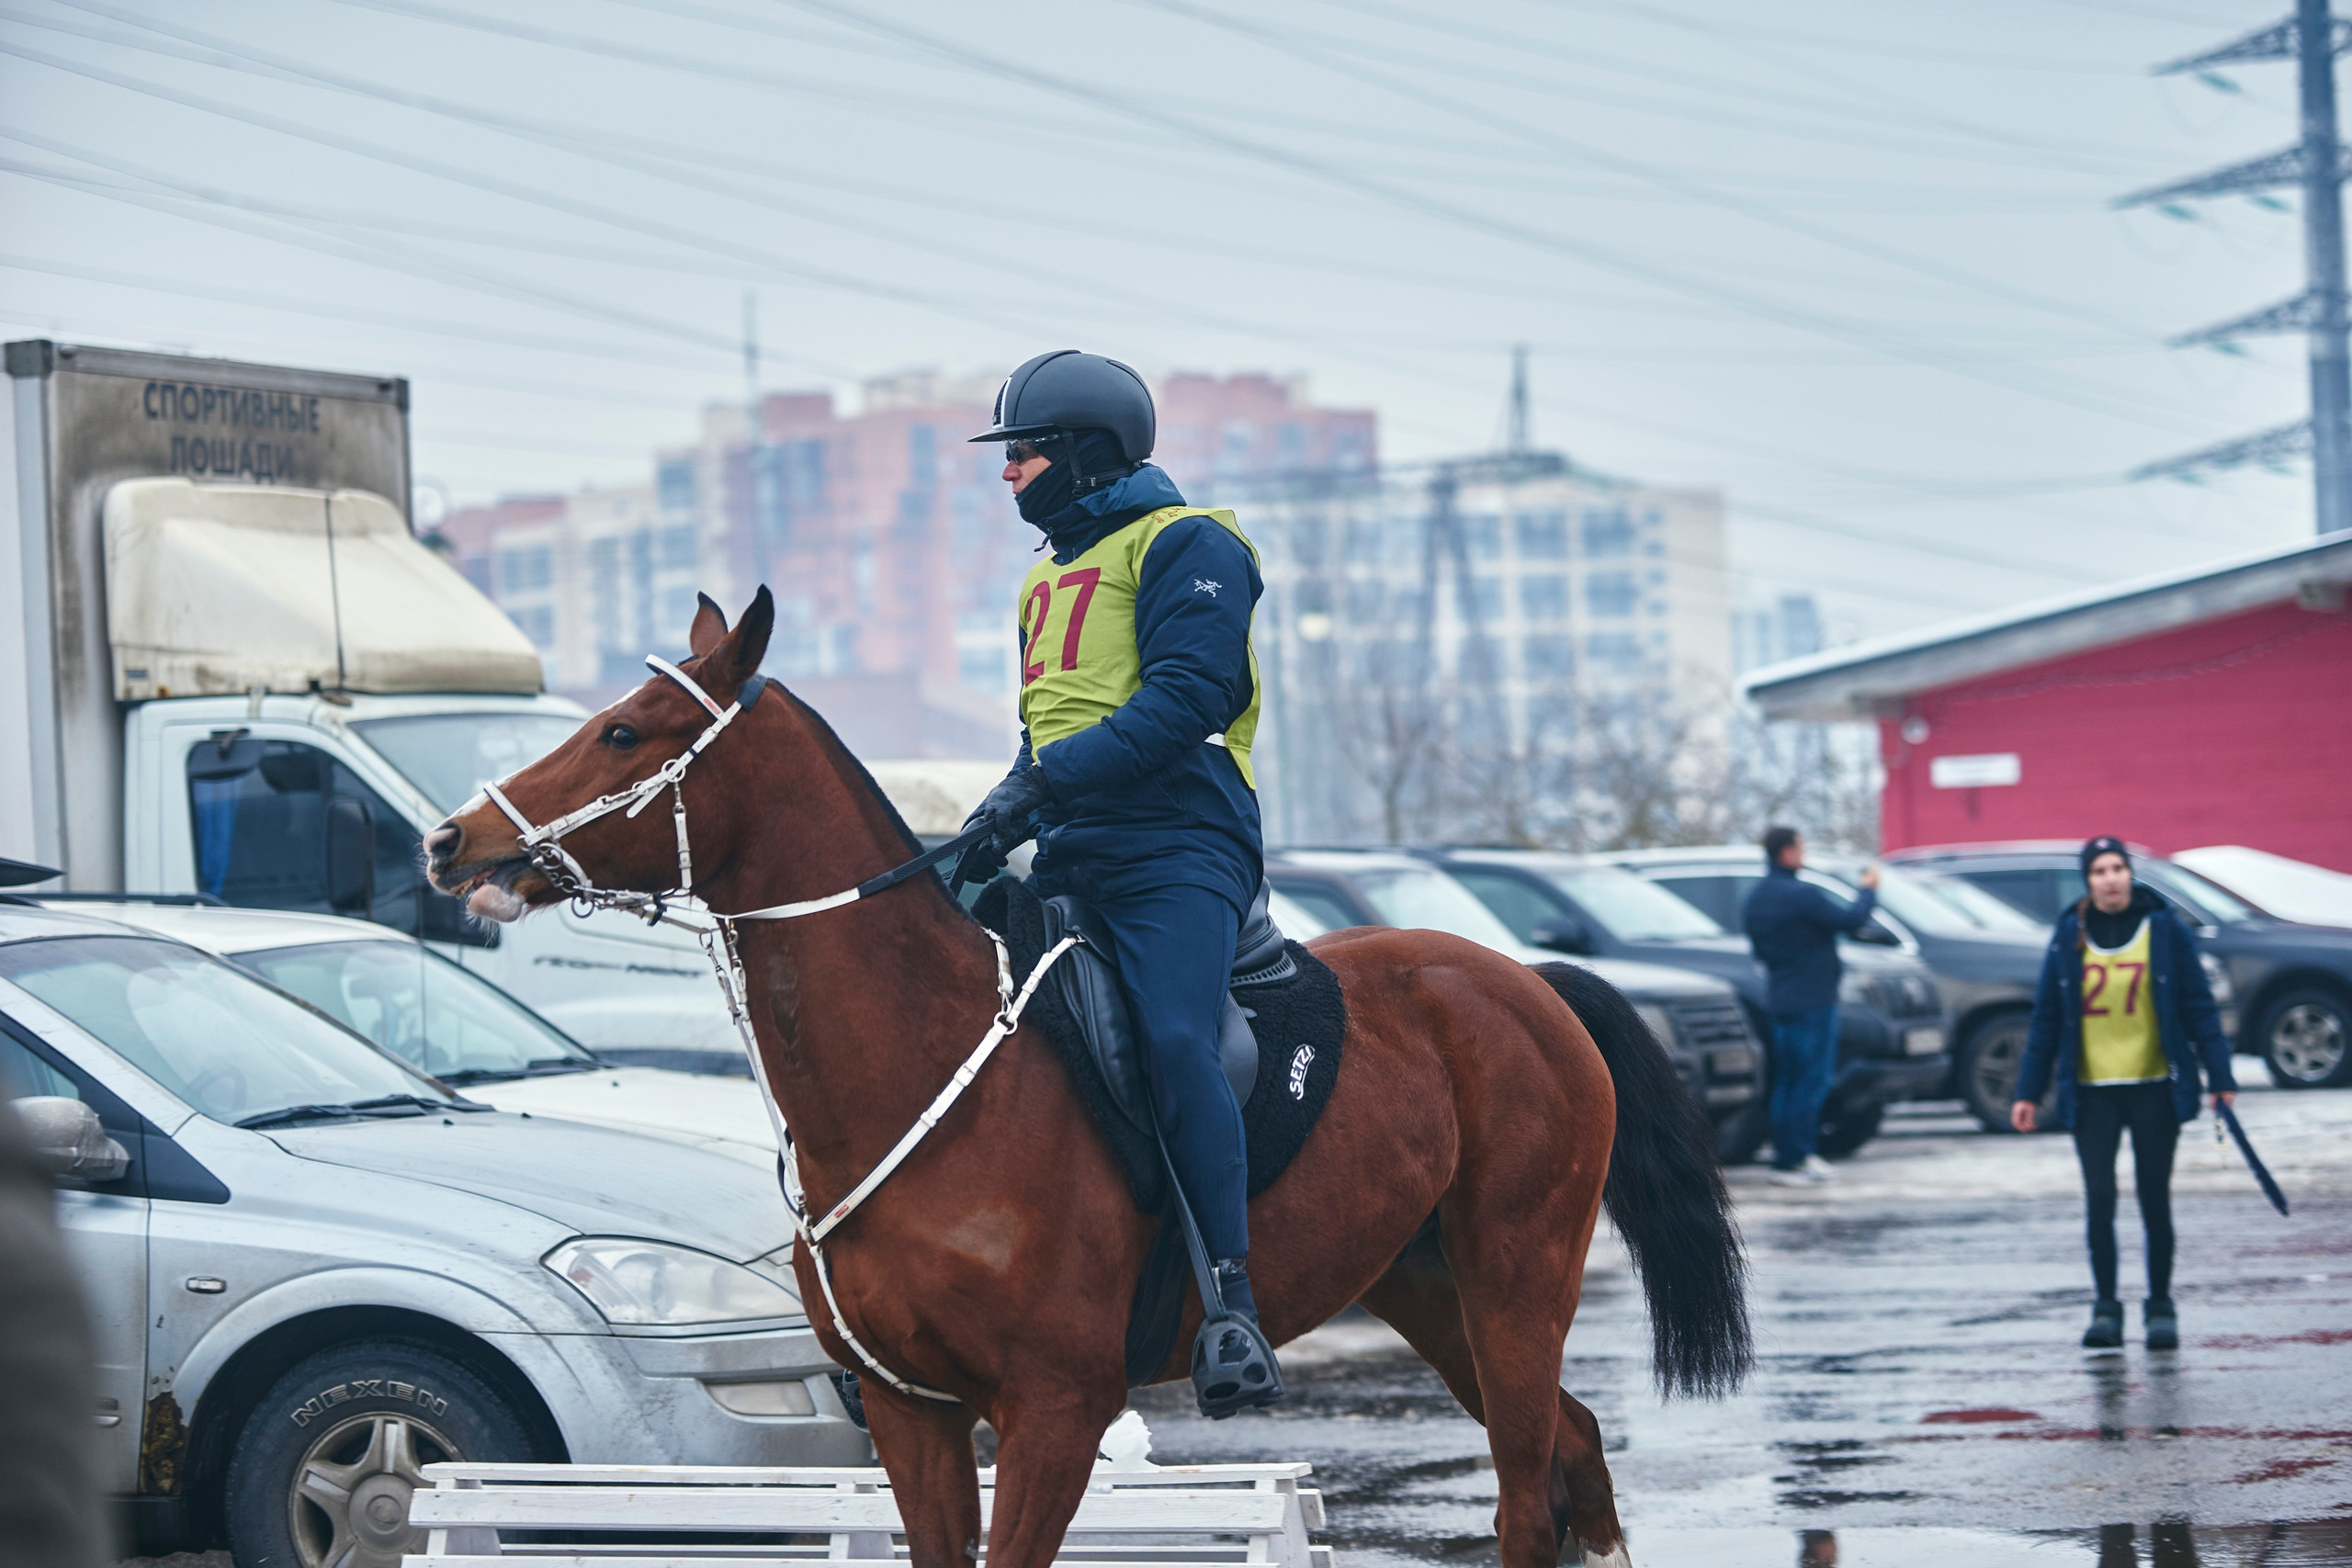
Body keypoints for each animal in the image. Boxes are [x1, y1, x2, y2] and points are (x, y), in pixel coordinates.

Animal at [425, 589, 1748, 1568]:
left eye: (624, 730)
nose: (451, 841)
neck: (916, 1064)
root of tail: (1521, 977)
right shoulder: (914, 1412)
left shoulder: (1054, 1407)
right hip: (1427, 1285)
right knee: (1574, 1450)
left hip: (1516, 1275)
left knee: (1528, 1493)